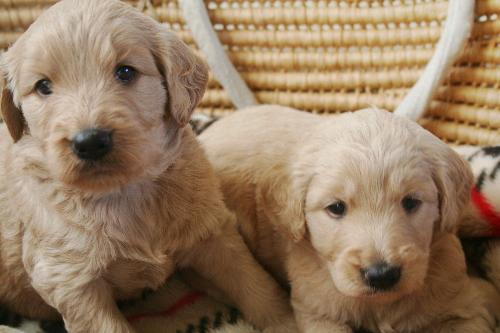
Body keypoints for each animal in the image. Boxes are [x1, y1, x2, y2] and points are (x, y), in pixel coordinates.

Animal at [0, 2, 296, 332]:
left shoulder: (213, 232)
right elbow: (107, 325)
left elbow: (255, 285)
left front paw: (286, 322)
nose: (89, 141)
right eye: (43, 86)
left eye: (126, 72)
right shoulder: (70, 282)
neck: (125, 191)